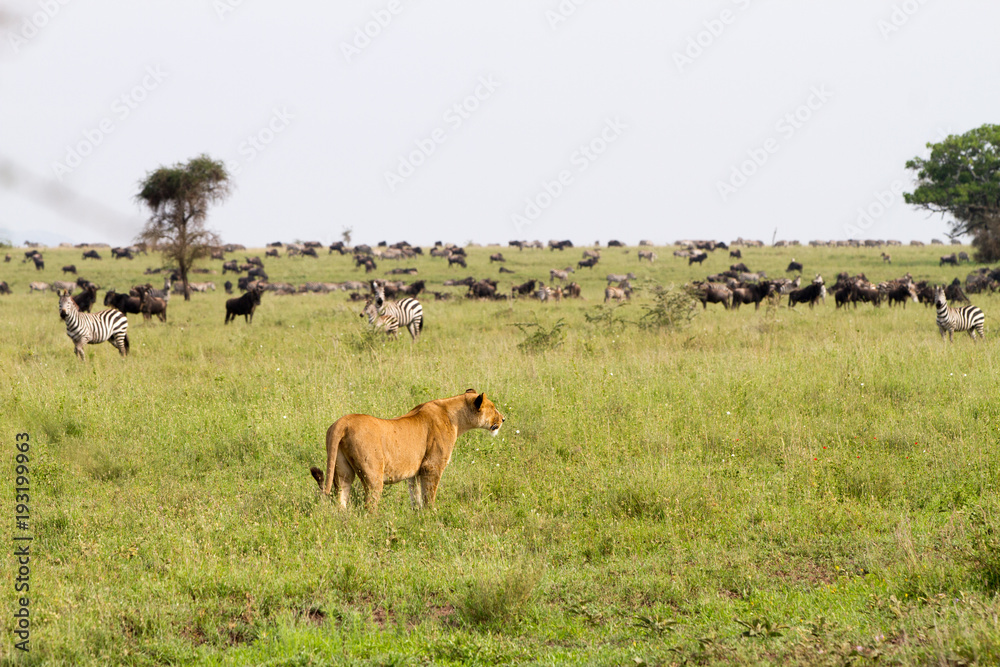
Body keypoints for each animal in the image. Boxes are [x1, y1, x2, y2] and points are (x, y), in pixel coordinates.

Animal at [309, 389, 505, 512]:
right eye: (493, 408)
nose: (503, 418)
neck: (455, 417)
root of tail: (343, 422)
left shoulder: (415, 472)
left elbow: (415, 495)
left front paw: (417, 514)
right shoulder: (431, 466)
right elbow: (429, 495)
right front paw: (431, 515)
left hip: (342, 470)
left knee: (341, 499)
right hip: (373, 474)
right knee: (369, 505)